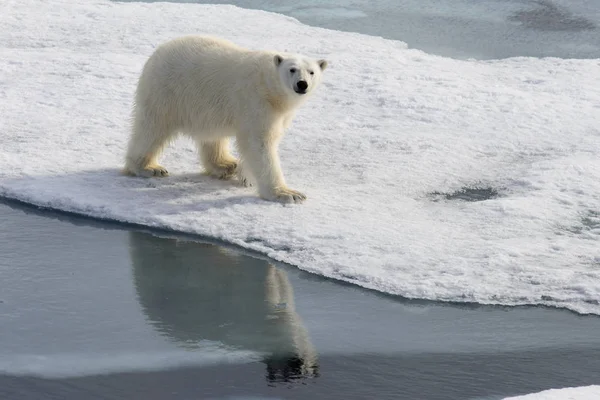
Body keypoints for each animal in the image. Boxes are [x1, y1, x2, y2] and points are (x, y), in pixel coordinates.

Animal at [123, 34, 328, 203]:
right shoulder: (256, 101)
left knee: (212, 137)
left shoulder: (279, 113)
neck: (271, 89)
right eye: (292, 69)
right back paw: (148, 167)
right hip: (167, 91)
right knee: (152, 128)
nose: (302, 84)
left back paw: (226, 164)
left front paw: (246, 176)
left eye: (312, 72)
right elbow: (259, 143)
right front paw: (287, 194)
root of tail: (157, 53)